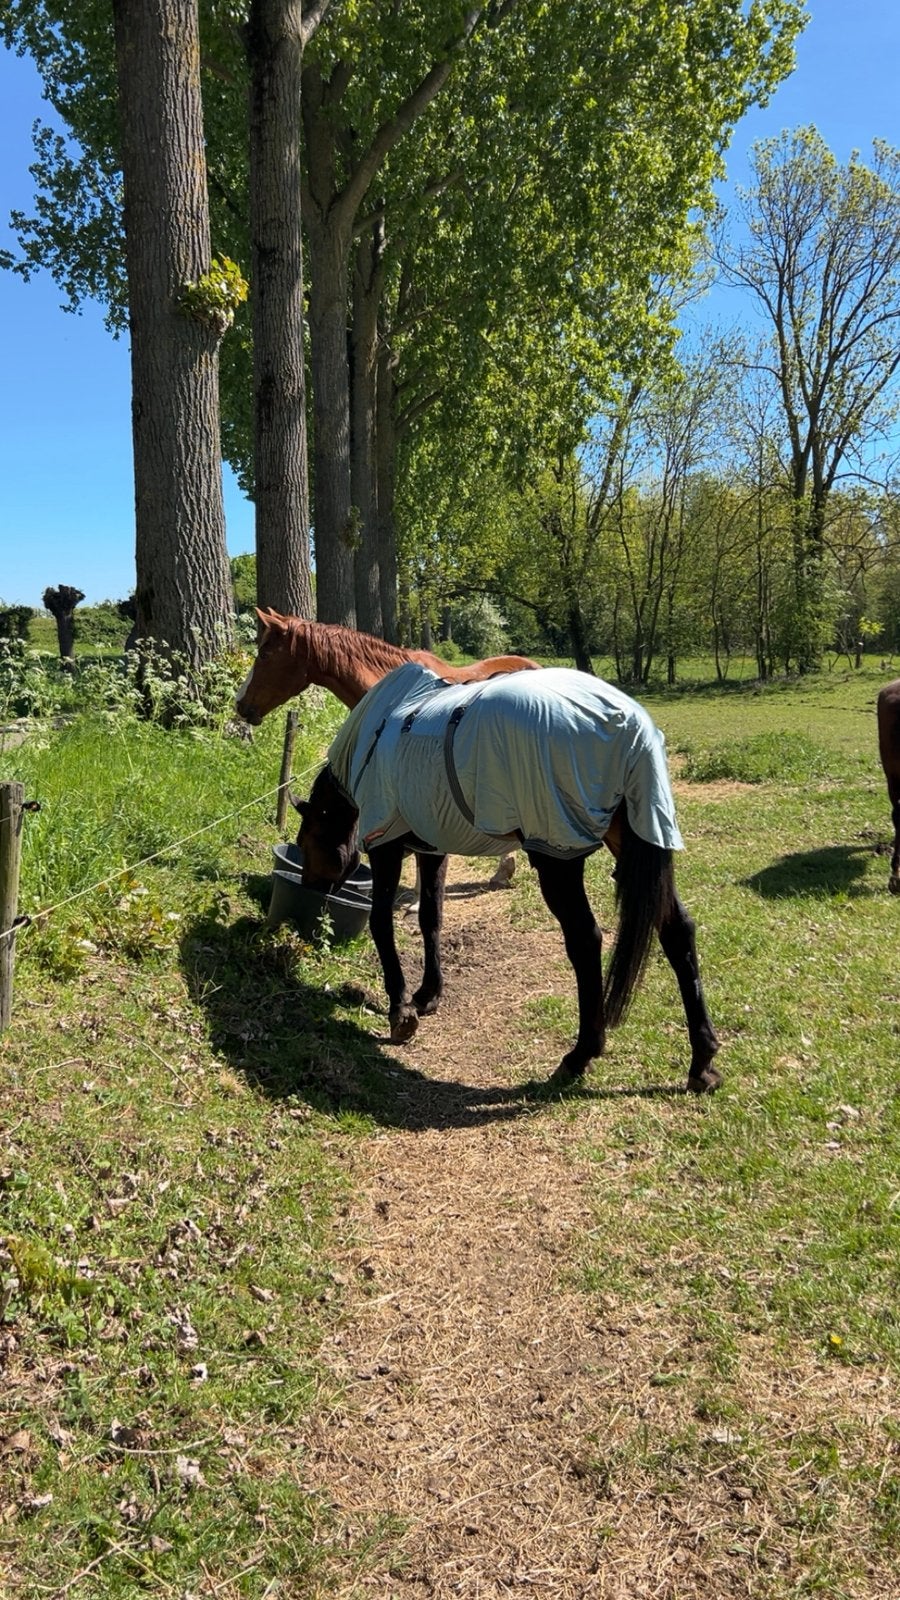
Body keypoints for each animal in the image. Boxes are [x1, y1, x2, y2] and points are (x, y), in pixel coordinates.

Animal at [292, 661, 721, 1094]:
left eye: (306, 839)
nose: (310, 886)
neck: (375, 738)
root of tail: (628, 725)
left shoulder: (386, 845)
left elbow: (382, 923)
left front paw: (401, 1010)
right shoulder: (432, 848)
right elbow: (431, 919)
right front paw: (428, 994)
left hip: (557, 858)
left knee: (586, 940)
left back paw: (580, 1055)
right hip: (640, 838)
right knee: (676, 930)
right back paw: (702, 1063)